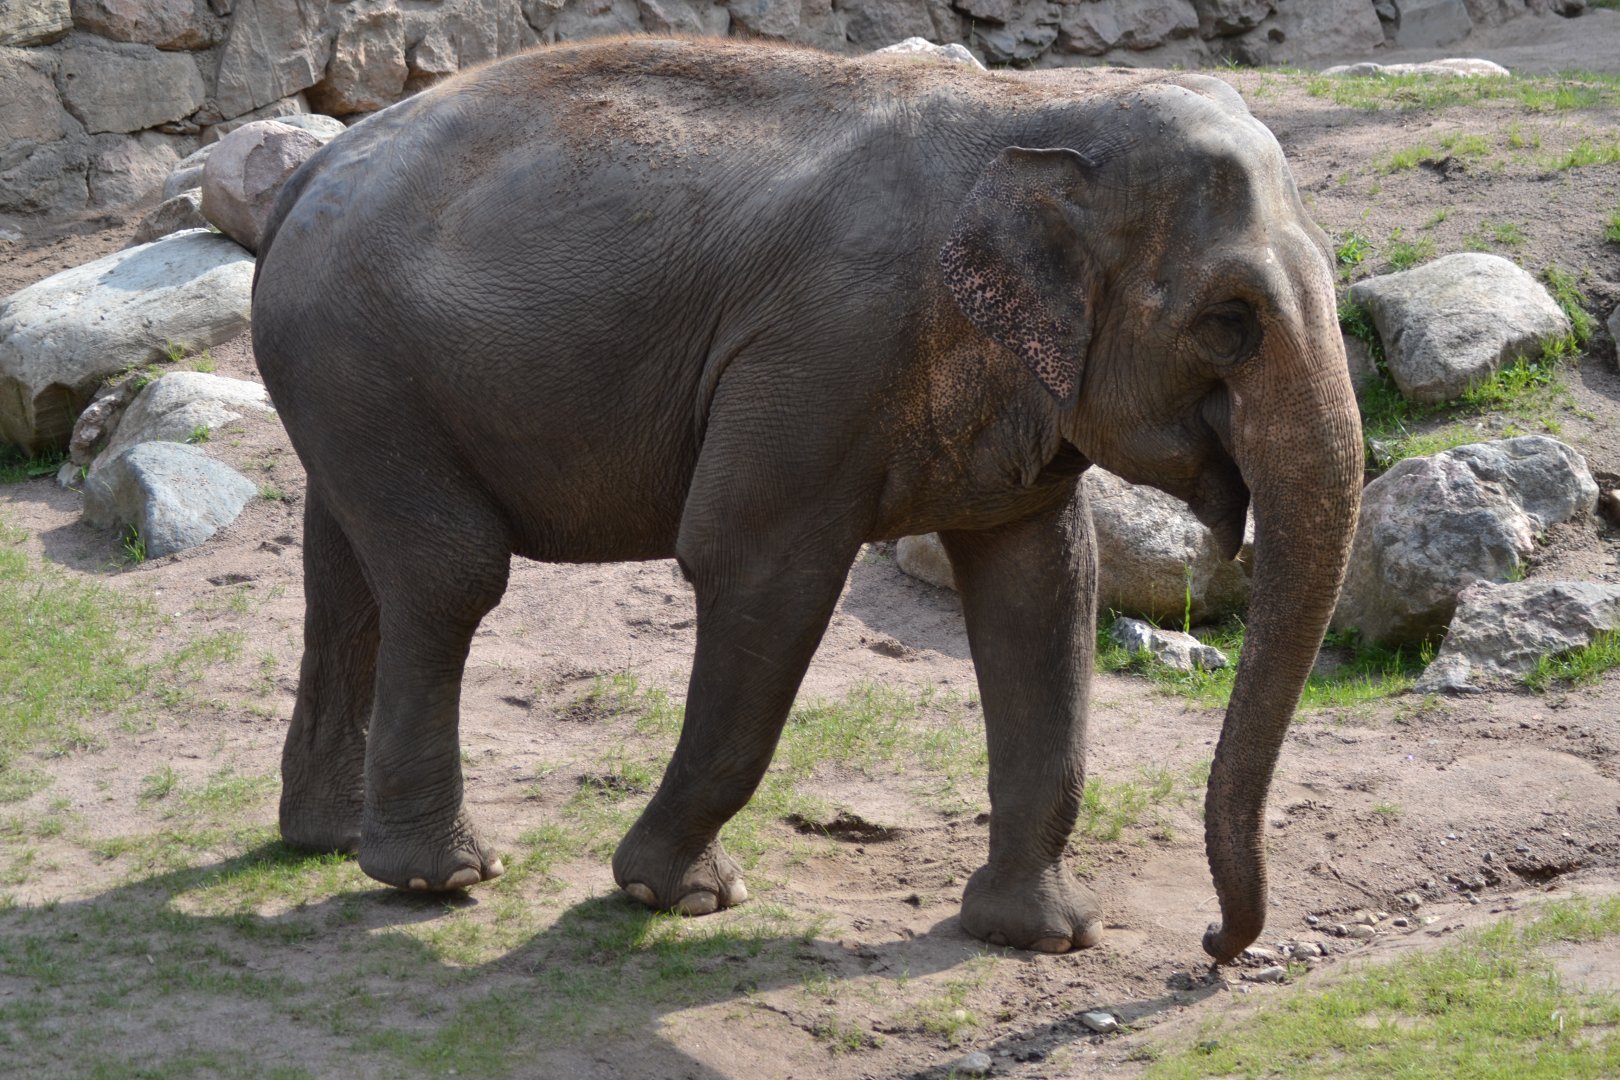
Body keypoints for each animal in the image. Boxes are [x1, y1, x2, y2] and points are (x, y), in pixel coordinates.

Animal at [251, 37, 1362, 963]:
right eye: (1229, 322)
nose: (1215, 947)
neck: (1036, 111)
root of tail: (304, 176)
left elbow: (1042, 589)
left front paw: (1043, 935)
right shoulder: (819, 358)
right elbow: (754, 567)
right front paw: (679, 895)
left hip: (348, 382)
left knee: (342, 566)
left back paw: (328, 838)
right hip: (359, 358)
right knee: (449, 573)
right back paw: (438, 877)